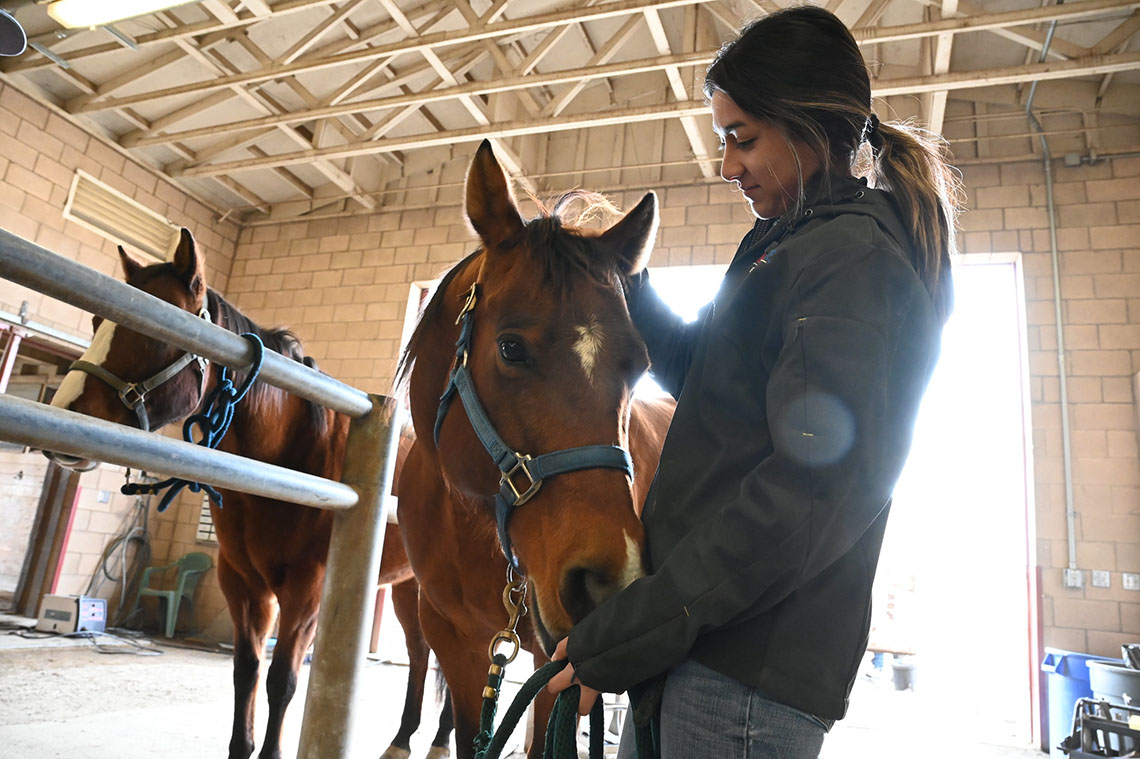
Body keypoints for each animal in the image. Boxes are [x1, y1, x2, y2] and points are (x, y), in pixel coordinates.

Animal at [43, 230, 453, 759]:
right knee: (422, 654)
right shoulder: (242, 583)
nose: (65, 409)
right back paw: (402, 740)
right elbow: (247, 672)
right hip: (408, 586)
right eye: (96, 320)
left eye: (156, 326)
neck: (293, 452)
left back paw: (441, 740)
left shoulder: (306, 592)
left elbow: (282, 681)